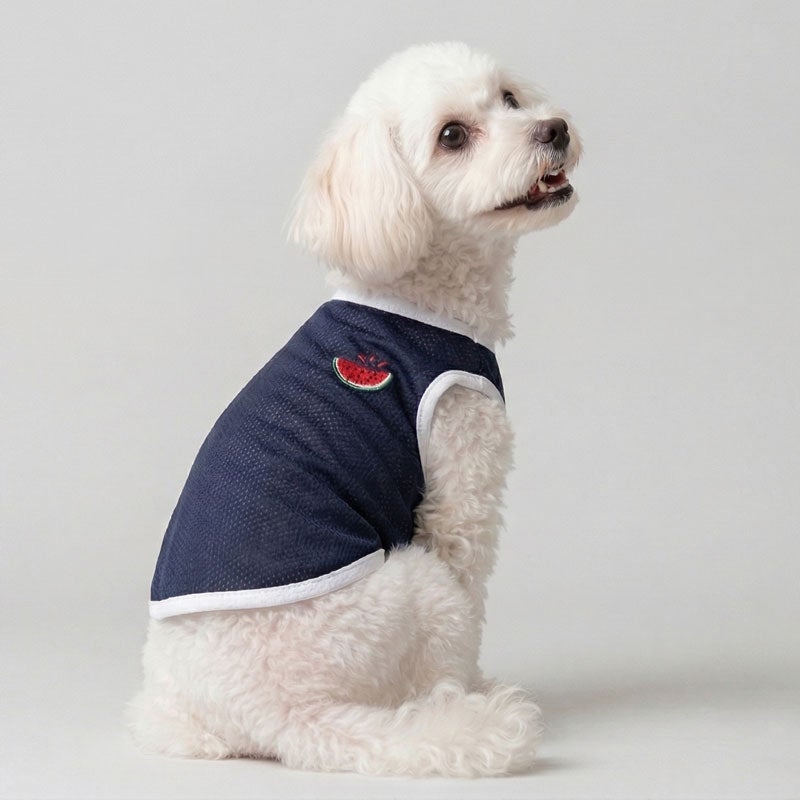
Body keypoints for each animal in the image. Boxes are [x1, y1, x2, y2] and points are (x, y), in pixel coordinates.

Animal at [128, 41, 581, 777]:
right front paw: (472, 690)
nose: (555, 129)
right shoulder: (461, 485)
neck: (415, 296)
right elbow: (470, 574)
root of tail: (281, 717)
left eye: (510, 98)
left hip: (177, 711)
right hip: (413, 589)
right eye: (452, 136)